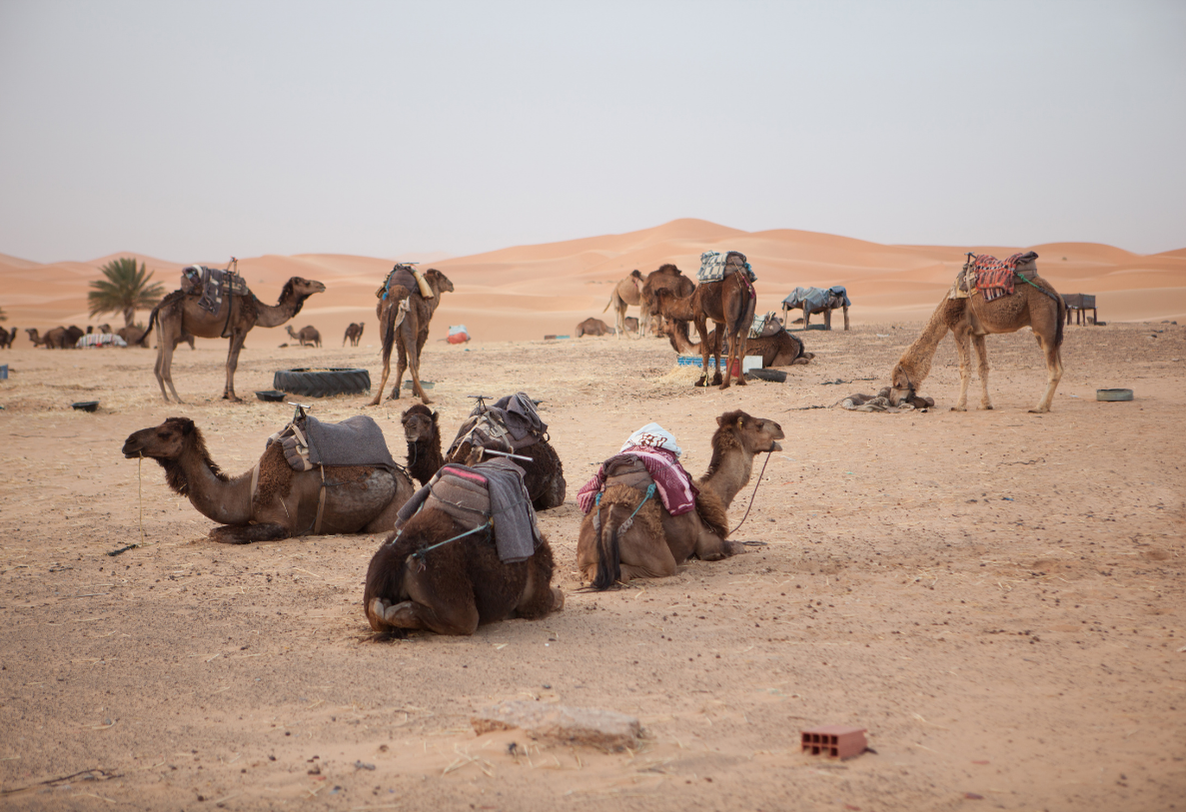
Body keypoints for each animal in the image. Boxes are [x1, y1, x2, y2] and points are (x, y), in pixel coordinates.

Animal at [122, 416, 416, 543]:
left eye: (165, 434)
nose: (129, 442)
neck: (245, 491)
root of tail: (406, 479)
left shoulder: (281, 524)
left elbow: (219, 534)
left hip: (389, 514)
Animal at [142, 276, 325, 403]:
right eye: (306, 283)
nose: (322, 285)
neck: (258, 310)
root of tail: (160, 305)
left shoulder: (231, 333)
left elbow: (227, 362)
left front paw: (225, 394)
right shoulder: (242, 330)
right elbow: (233, 363)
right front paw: (234, 396)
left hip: (161, 328)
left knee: (157, 366)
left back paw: (166, 399)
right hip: (171, 324)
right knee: (165, 367)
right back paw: (178, 399)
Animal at [371, 268, 453, 406]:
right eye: (444, 278)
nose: (452, 285)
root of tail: (396, 297)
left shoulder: (398, 335)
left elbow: (401, 363)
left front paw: (394, 393)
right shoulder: (423, 331)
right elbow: (416, 361)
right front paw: (415, 391)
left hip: (385, 326)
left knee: (386, 365)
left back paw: (375, 400)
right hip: (410, 330)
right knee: (413, 364)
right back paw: (425, 398)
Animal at [577, 410, 785, 589]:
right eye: (759, 425)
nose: (779, 427)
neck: (713, 494)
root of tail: (609, 526)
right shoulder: (710, 545)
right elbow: (738, 547)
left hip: (586, 557)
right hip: (657, 557)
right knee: (637, 571)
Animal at [890, 274, 1066, 413]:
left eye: (898, 383)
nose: (892, 400)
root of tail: (1057, 295)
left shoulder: (960, 328)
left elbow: (964, 368)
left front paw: (959, 405)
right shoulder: (977, 333)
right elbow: (983, 368)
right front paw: (985, 404)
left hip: (1044, 324)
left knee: (1054, 370)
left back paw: (1039, 407)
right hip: (1054, 333)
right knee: (1060, 366)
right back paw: (1046, 406)